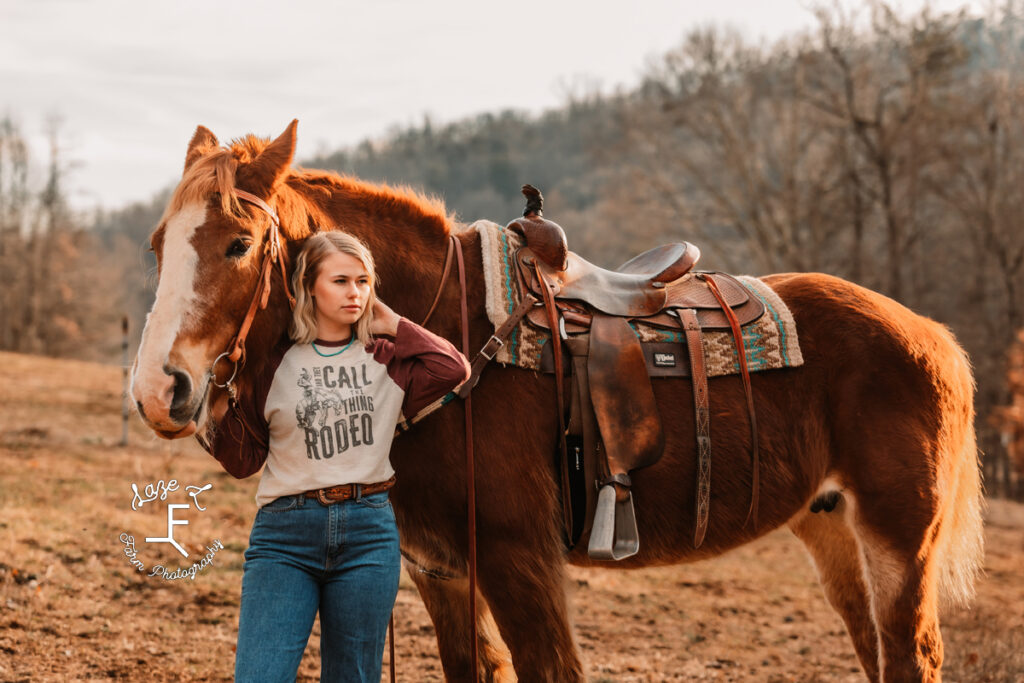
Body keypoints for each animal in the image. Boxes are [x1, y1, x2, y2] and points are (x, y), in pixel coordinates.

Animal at [130, 120, 983, 679]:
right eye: (158, 245)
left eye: (239, 243)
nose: (159, 389)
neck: (456, 334)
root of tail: (932, 335)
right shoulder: (444, 570)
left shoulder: (520, 559)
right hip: (832, 527)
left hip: (897, 539)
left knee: (911, 655)